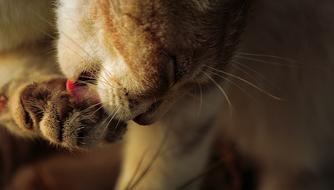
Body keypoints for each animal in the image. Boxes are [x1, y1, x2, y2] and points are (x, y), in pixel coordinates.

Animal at [0, 0, 334, 189]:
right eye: (174, 70)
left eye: (191, 81)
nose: (147, 118)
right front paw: (41, 105)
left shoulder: (199, 102)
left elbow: (159, 172)